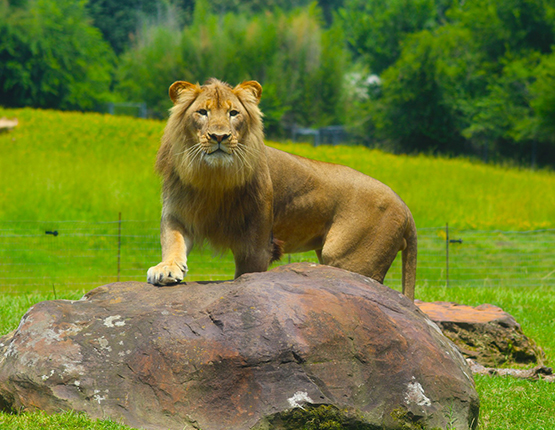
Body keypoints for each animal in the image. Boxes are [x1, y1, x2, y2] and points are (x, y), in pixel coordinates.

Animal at [148, 78, 416, 298]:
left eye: (233, 113)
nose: (219, 136)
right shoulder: (177, 214)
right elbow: (172, 242)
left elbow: (245, 275)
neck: (213, 177)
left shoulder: (256, 244)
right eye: (202, 112)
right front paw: (166, 270)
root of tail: (405, 205)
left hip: (350, 258)